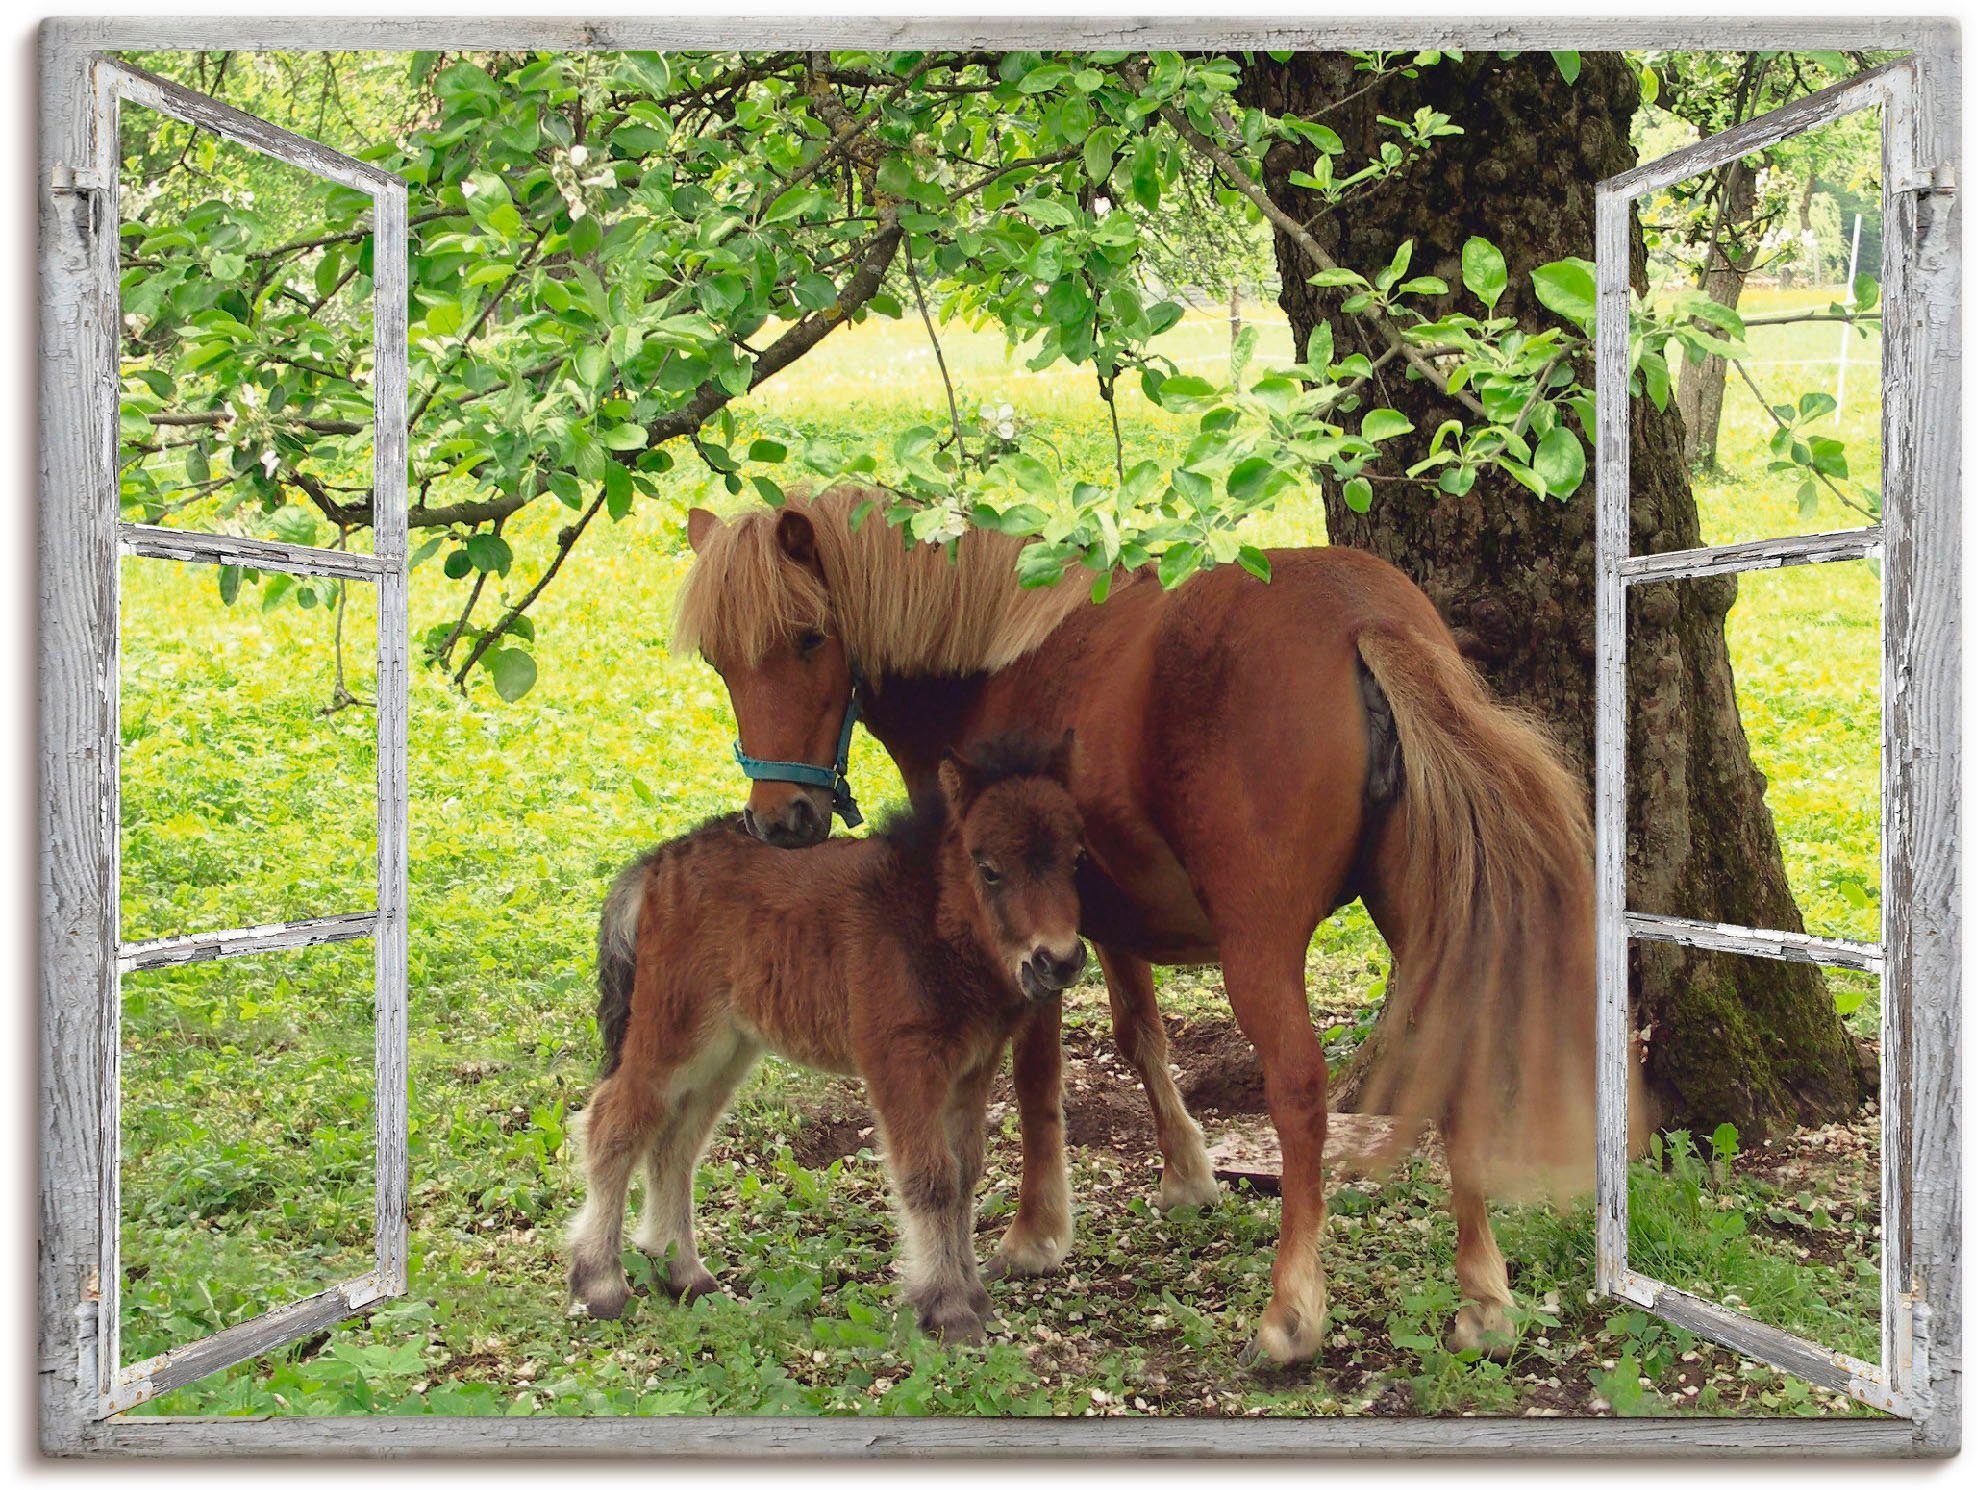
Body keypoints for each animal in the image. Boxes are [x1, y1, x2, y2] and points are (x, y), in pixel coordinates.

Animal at [565, 728, 1091, 1337]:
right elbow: (931, 1178)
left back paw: (683, 1274)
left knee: (676, 1142)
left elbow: (964, 1177)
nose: (1058, 961)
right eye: (989, 869)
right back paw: (600, 1283)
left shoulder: (971, 1070)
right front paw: (947, 1309)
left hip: (727, 1049)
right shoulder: (900, 1063)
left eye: (1076, 860)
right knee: (614, 1124)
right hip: (674, 1033)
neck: (927, 919)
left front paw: (973, 1298)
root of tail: (658, 863)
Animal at [676, 488, 1606, 1361]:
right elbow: (1139, 1036)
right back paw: (1484, 1300)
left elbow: (1038, 1076)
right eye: (720, 661)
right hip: (1425, 915)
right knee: (1455, 1059)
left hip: (1259, 944)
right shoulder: (1107, 921)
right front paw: (1187, 1175)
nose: (780, 820)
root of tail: (1362, 618)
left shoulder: (1025, 940)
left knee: (1298, 1090)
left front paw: (1035, 1231)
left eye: (808, 639)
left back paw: (1290, 1313)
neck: (993, 661)